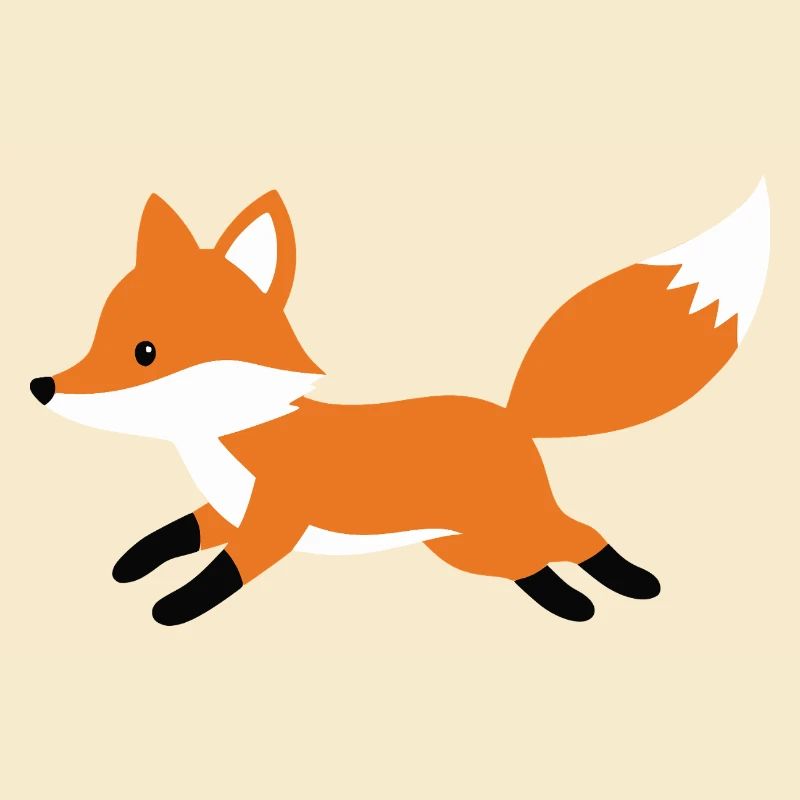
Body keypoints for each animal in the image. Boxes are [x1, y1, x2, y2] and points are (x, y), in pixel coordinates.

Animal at [30, 180, 770, 625]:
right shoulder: (229, 511)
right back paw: (571, 606)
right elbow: (176, 532)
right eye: (98, 335)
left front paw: (173, 608)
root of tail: (511, 414)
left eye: (145, 350)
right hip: (466, 547)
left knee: (579, 535)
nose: (43, 387)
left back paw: (631, 582)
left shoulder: (274, 523)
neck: (233, 437)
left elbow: (223, 573)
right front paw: (131, 565)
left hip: (504, 524)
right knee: (534, 564)